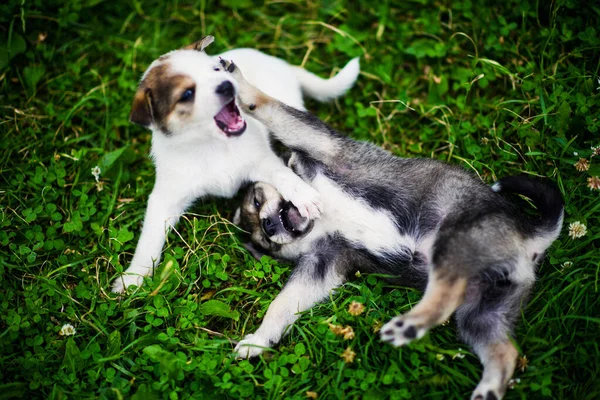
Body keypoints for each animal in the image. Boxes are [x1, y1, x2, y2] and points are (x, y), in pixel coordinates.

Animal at [110, 36, 358, 294]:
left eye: (215, 70)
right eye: (187, 93)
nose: (227, 84)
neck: (213, 145)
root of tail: (281, 64)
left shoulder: (261, 160)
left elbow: (282, 174)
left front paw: (303, 195)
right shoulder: (166, 198)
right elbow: (149, 239)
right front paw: (133, 278)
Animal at [224, 57, 564, 400]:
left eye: (257, 199)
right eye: (266, 243)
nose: (268, 226)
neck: (323, 220)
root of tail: (529, 237)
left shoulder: (322, 145)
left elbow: (271, 109)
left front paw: (238, 81)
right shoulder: (322, 263)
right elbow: (281, 305)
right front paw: (259, 340)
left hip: (455, 238)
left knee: (446, 293)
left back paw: (409, 327)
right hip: (482, 313)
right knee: (498, 346)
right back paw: (484, 385)